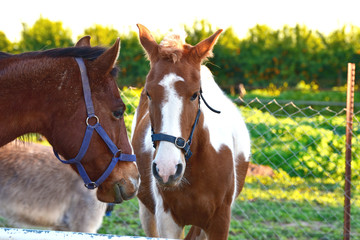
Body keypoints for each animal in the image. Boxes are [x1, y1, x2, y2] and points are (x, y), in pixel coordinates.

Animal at [131, 24, 250, 240]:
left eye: (195, 94)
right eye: (149, 93)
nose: (167, 169)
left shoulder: (220, 222)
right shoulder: (168, 221)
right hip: (147, 212)